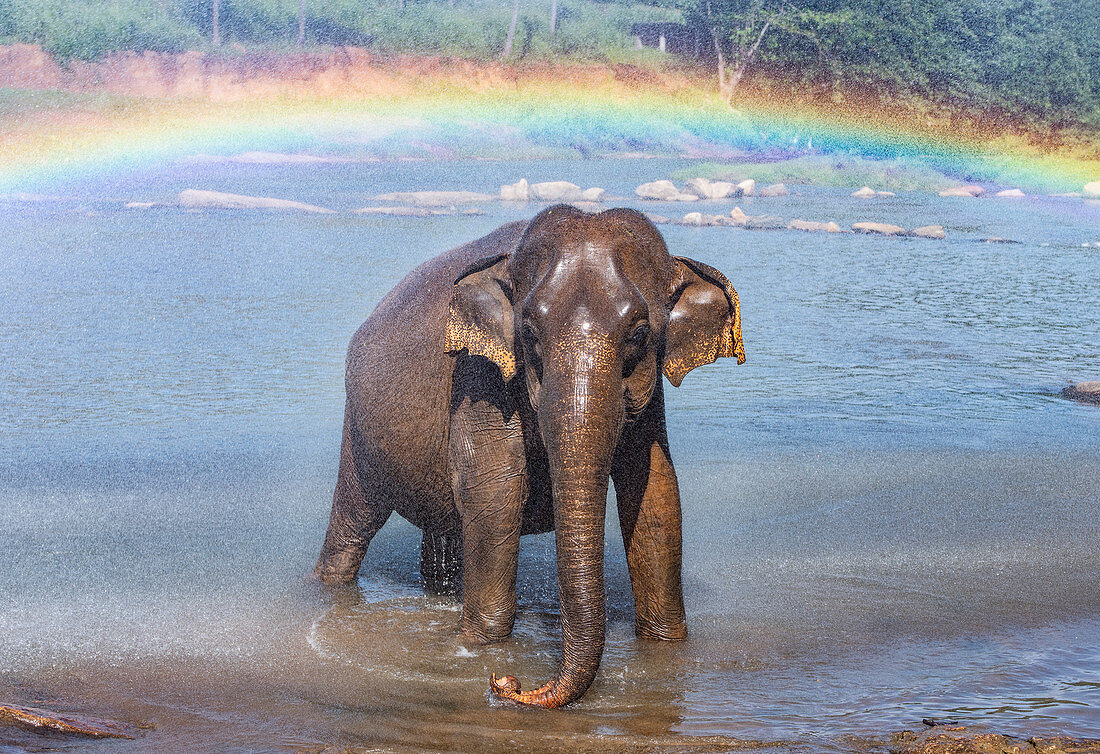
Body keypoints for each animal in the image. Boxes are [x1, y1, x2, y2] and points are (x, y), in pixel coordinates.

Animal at [319, 204, 748, 704]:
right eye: (529, 333)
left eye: (641, 333)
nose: (508, 684)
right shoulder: (478, 376)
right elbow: (495, 495)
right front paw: (479, 647)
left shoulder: (650, 396)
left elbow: (656, 494)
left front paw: (666, 645)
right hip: (359, 428)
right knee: (354, 522)